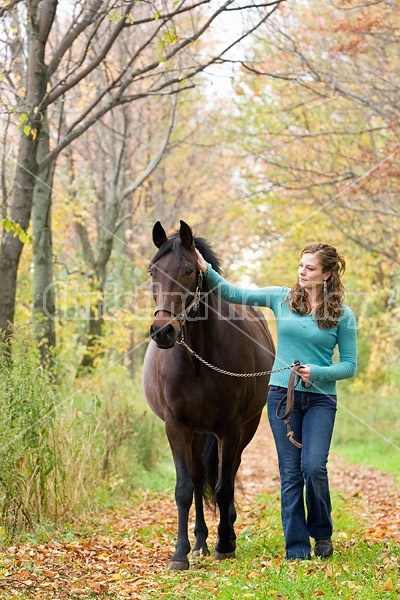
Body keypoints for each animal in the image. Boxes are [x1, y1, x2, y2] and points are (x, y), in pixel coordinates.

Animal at [142, 219, 276, 568]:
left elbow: (224, 486)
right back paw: (200, 541)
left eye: (189, 270)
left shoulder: (229, 428)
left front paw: (225, 543)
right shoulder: (176, 427)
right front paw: (180, 553)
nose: (163, 332)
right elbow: (184, 489)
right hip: (196, 433)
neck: (198, 356)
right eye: (152, 271)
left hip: (244, 428)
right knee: (199, 476)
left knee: (228, 472)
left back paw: (225, 531)